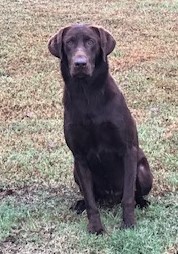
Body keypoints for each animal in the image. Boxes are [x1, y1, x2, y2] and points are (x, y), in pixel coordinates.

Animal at [47, 23, 153, 234]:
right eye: (69, 42)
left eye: (91, 42)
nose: (80, 63)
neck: (87, 94)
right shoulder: (79, 157)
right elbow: (91, 202)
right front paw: (96, 227)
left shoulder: (128, 150)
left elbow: (128, 197)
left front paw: (129, 224)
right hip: (75, 171)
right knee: (93, 197)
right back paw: (79, 204)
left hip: (143, 171)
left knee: (134, 193)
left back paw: (142, 203)